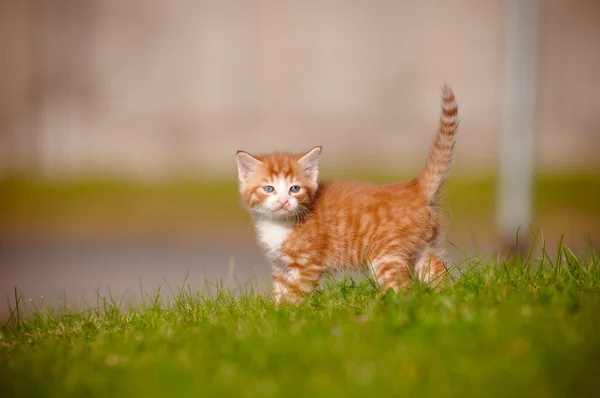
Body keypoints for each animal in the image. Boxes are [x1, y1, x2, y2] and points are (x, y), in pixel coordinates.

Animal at [236, 84, 460, 304]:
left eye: (294, 189)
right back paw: (445, 298)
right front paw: (274, 311)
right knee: (437, 273)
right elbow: (280, 293)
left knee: (403, 289)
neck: (278, 224)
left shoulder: (308, 267)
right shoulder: (280, 268)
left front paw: (287, 312)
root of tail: (414, 187)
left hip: (386, 255)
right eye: (269, 189)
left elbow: (293, 296)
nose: (283, 201)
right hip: (422, 247)